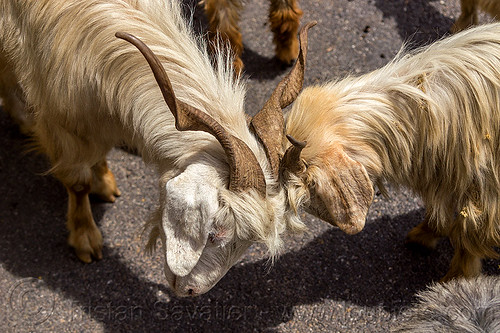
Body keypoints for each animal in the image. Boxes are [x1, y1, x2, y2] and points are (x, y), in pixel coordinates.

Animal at [0, 0, 312, 296]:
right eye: (213, 233)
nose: (190, 291)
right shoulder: (60, 118)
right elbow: (78, 182)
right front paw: (85, 238)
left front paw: (103, 181)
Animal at [282, 23, 500, 282]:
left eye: (310, 186)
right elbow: (441, 212)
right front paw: (423, 236)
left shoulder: (485, 191)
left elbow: (468, 237)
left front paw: (456, 281)